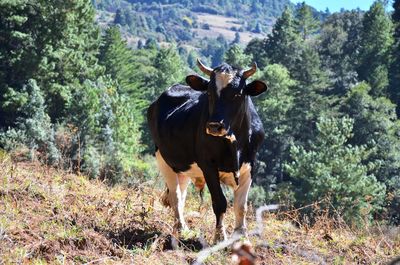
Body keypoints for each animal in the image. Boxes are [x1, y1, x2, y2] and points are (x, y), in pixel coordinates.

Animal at [147, 59, 268, 241]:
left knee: (182, 194)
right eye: (209, 93)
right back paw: (181, 228)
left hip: (183, 167)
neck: (234, 143)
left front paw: (242, 237)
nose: (214, 126)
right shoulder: (208, 165)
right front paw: (220, 237)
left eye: (237, 95)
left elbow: (241, 206)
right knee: (175, 196)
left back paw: (183, 229)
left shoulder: (250, 165)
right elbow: (220, 202)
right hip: (163, 158)